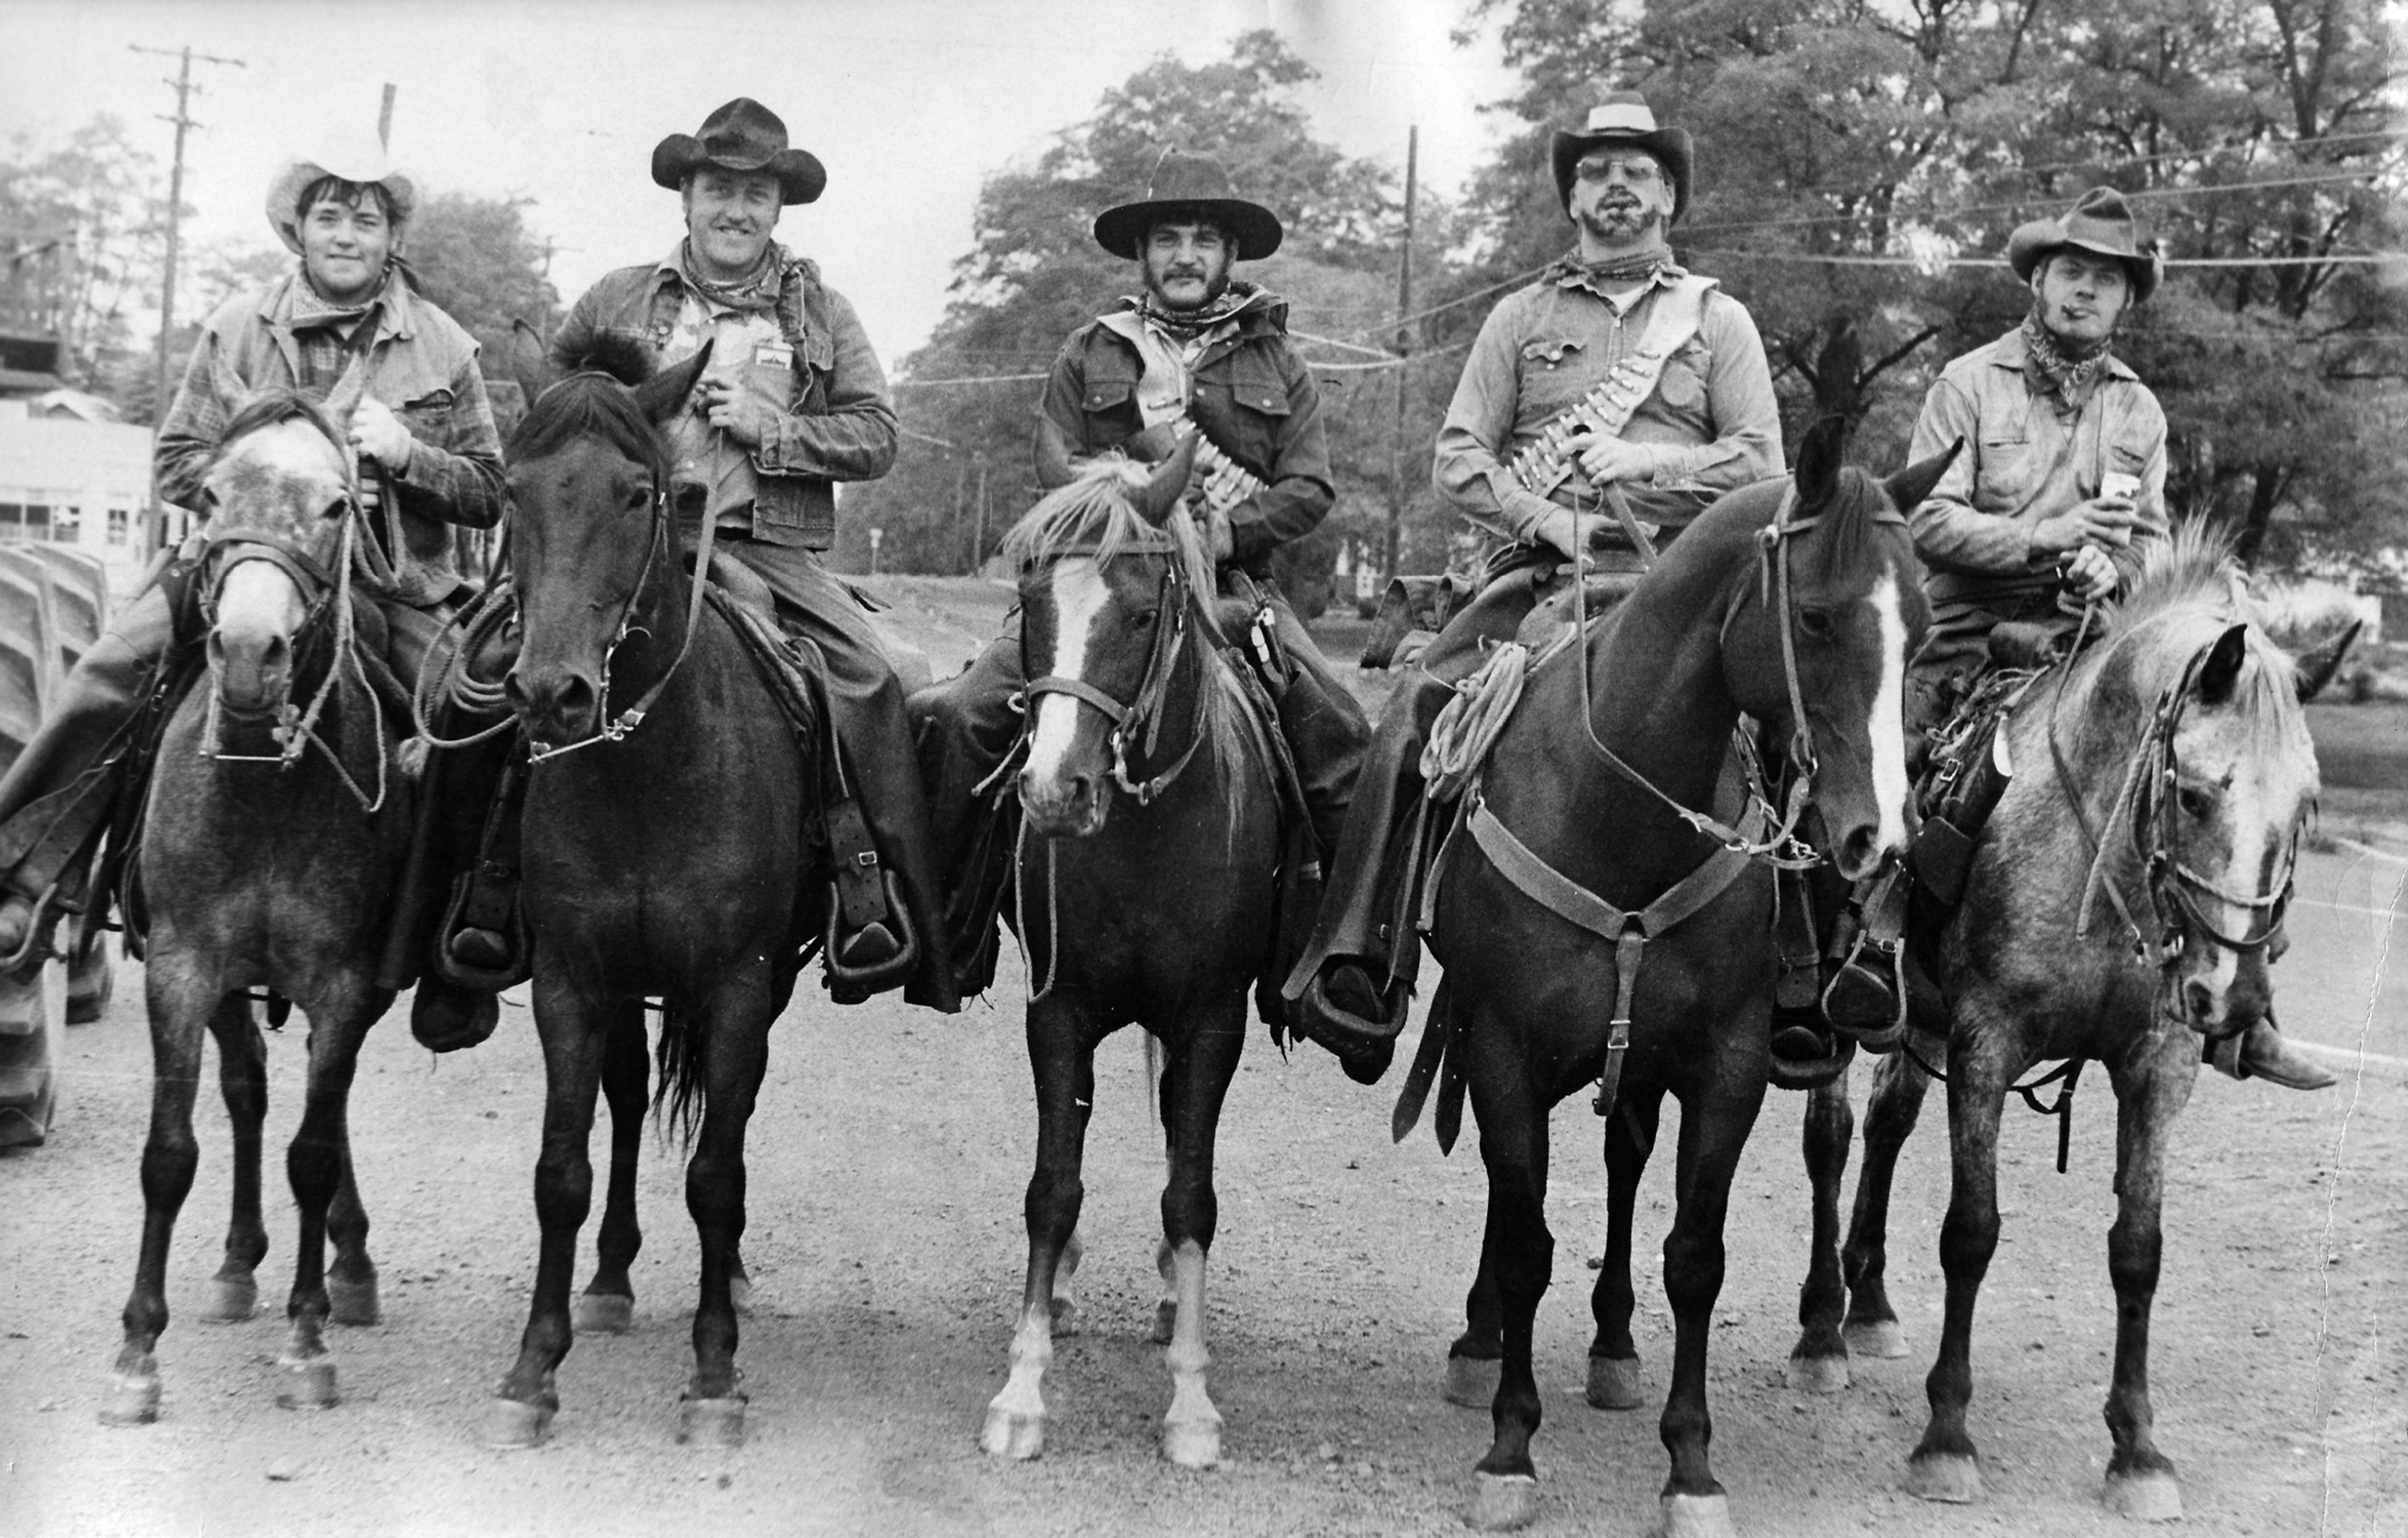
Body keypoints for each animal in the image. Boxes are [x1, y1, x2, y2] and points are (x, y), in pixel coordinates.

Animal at [96, 356, 409, 1424]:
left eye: (339, 503)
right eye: (209, 495)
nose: (245, 653)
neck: (267, 783)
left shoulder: (345, 982)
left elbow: (313, 1152)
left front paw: (308, 1340)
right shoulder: (183, 969)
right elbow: (168, 1154)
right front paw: (137, 1354)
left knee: (323, 1111)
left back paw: (347, 1268)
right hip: (230, 982)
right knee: (247, 1090)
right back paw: (239, 1263)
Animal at [482, 341, 818, 1453]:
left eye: (640, 494)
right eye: (514, 490)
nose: (551, 693)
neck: (647, 769)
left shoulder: (740, 983)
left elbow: (717, 1171)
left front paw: (715, 1374)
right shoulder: (573, 982)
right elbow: (561, 1173)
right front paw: (533, 1371)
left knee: (730, 1118)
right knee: (630, 1102)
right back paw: (611, 1279)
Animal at [968, 443, 1291, 1463]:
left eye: (1145, 613)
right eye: (1032, 602)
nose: (1054, 790)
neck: (1150, 837)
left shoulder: (1212, 1025)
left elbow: (1190, 1197)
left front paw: (1191, 1400)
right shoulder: (1059, 1014)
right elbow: (1052, 1189)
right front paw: (1022, 1389)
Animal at [1397, 414, 1955, 1530]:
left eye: (1919, 628)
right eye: (1816, 618)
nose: (1880, 840)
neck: (1616, 809)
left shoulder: (1725, 1066)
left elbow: (1695, 1257)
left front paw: (1691, 1465)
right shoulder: (1508, 1050)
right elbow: (1523, 1240)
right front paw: (1510, 1449)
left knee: (1624, 1164)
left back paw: (1614, 1344)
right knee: (1513, 1196)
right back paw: (1481, 1341)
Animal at [1791, 524, 2331, 1521]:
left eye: (2306, 805)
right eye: (2194, 794)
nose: (2233, 998)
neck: (2091, 854)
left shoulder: (2158, 1066)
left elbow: (2138, 1249)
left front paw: (2139, 1450)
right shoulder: (1986, 1048)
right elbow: (1971, 1232)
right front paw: (1947, 1437)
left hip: (1923, 1026)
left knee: (1886, 1126)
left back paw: (1871, 1302)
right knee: (1834, 1138)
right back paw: (1821, 1330)